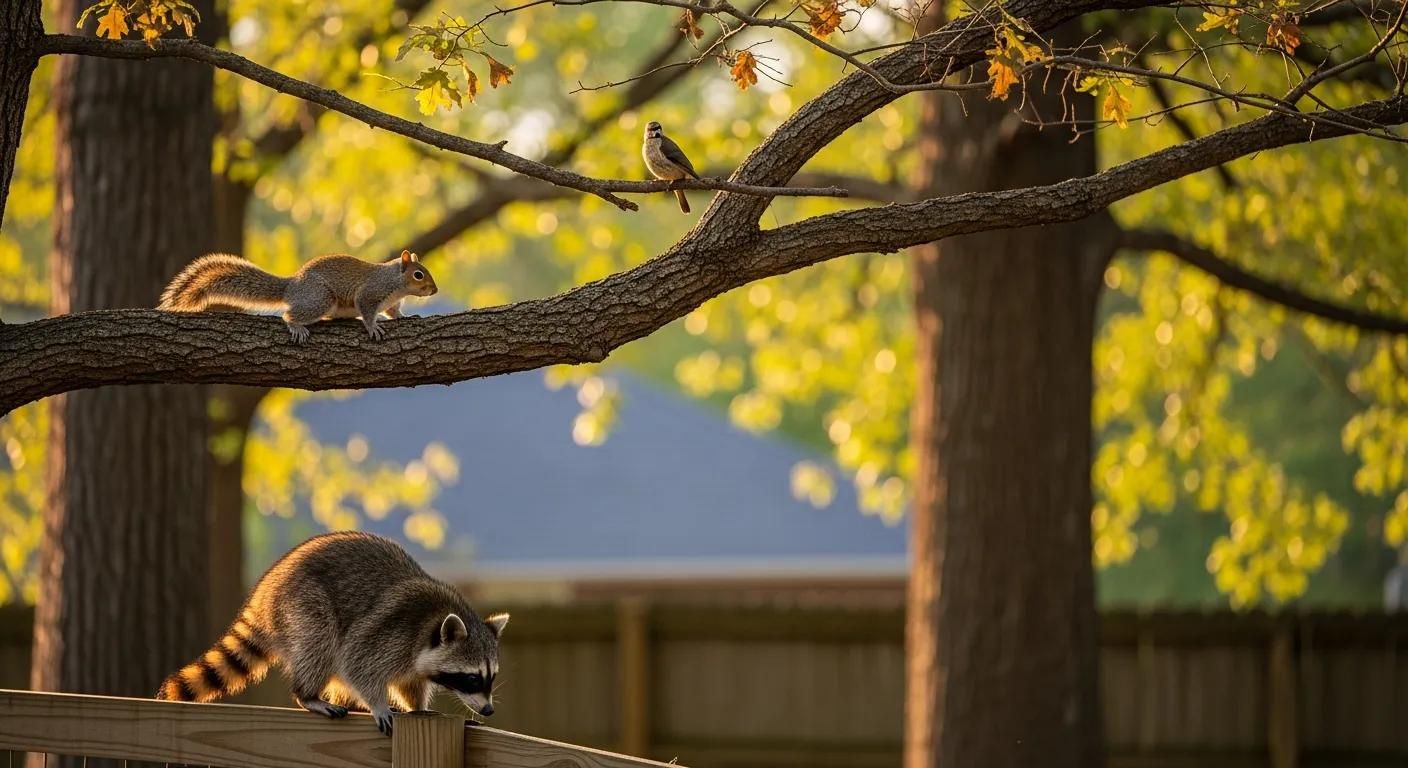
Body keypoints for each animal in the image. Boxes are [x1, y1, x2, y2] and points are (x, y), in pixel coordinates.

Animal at [156, 531, 507, 736]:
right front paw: (378, 703)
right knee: (321, 644)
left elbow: (410, 684)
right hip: (302, 606)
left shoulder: (413, 657)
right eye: (472, 678)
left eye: (490, 677)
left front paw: (416, 706)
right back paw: (309, 694)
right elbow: (357, 662)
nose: (489, 709)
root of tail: (263, 596)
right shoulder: (391, 630)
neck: (433, 621)